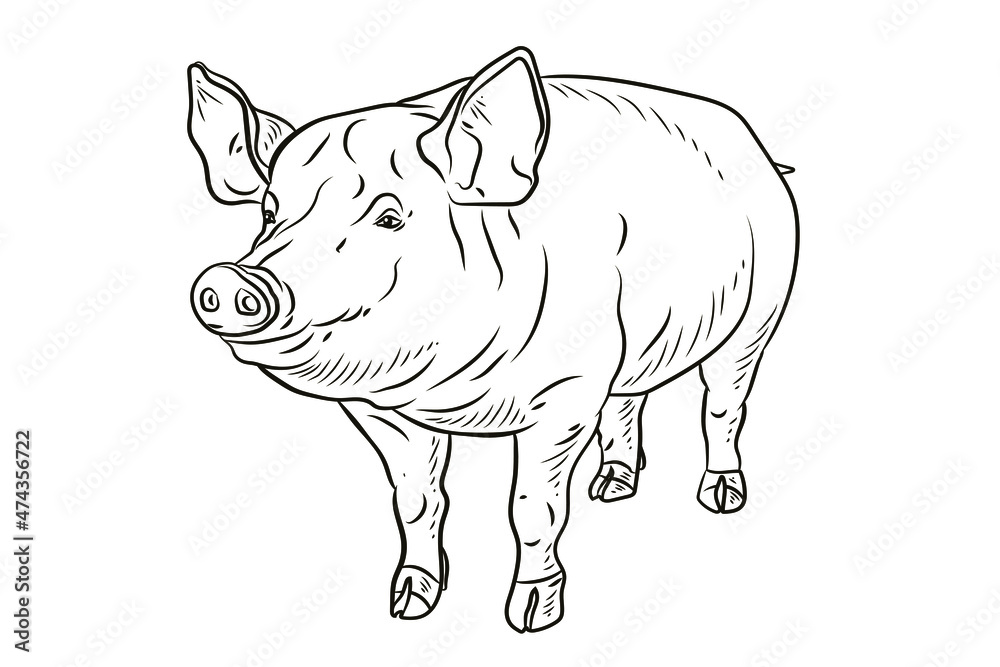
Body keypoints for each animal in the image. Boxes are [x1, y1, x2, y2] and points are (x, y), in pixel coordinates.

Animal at [186, 46, 798, 632]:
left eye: (389, 218)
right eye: (270, 213)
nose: (230, 280)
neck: (444, 392)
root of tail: (760, 149)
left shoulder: (565, 394)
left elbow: (533, 508)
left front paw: (530, 620)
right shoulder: (382, 413)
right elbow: (416, 501)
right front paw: (409, 605)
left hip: (760, 313)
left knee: (723, 406)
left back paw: (720, 498)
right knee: (628, 402)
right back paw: (611, 488)